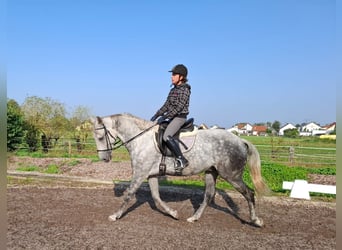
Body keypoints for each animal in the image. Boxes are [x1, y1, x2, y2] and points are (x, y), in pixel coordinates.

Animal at [92, 113, 268, 227]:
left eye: (100, 137)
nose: (104, 159)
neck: (140, 139)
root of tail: (241, 140)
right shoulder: (151, 175)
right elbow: (156, 197)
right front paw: (173, 213)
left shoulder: (140, 173)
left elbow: (129, 194)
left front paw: (115, 216)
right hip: (211, 172)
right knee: (208, 195)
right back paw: (193, 218)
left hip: (231, 175)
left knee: (249, 193)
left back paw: (256, 221)